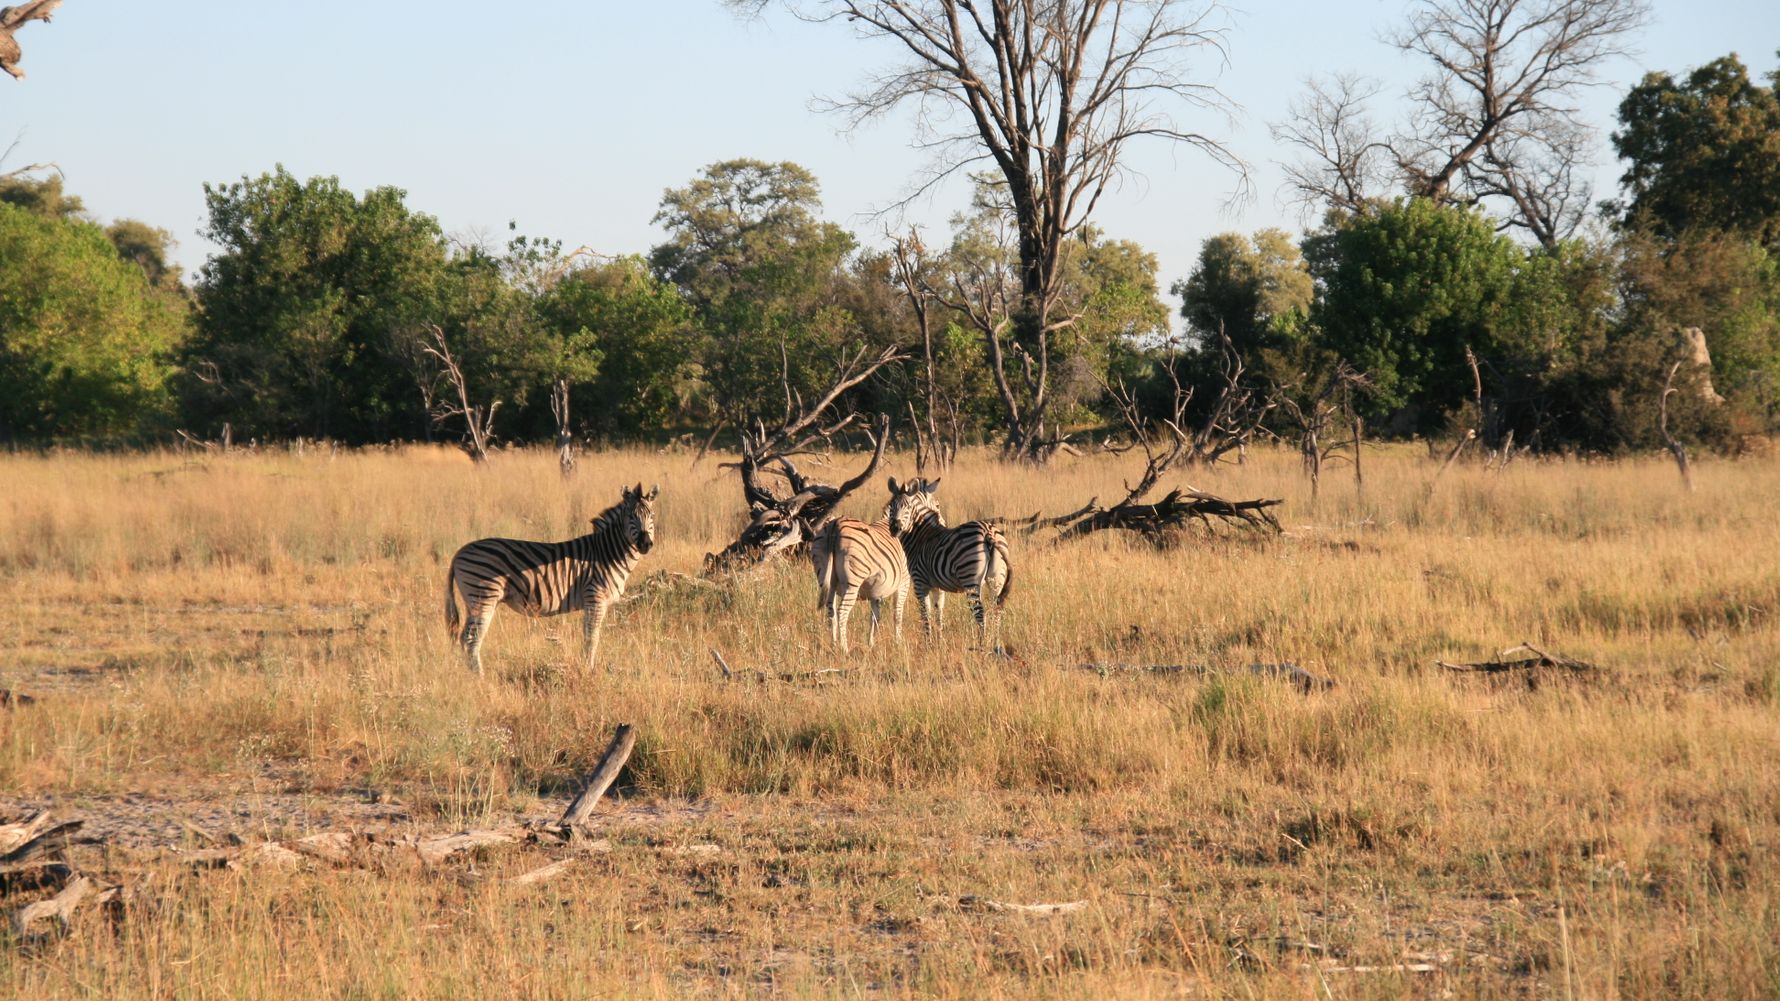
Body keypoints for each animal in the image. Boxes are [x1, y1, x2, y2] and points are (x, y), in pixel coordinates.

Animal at [444, 483, 658, 673]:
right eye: (630, 516)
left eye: (652, 516)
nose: (645, 544)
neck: (607, 553)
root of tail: (459, 552)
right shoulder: (595, 598)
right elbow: (592, 638)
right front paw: (588, 670)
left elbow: (588, 637)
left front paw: (586, 668)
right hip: (483, 595)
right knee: (472, 639)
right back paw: (480, 679)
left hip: (475, 600)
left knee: (464, 638)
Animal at [806, 516, 910, 653]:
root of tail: (835, 524)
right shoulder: (904, 582)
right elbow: (897, 615)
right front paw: (898, 643)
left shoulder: (875, 593)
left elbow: (875, 617)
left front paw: (871, 644)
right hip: (852, 582)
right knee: (842, 612)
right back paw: (844, 649)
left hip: (826, 579)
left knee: (831, 613)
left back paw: (834, 646)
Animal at [884, 477, 1012, 646]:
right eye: (892, 506)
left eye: (908, 507)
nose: (895, 528)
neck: (920, 535)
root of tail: (988, 531)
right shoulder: (937, 585)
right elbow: (939, 610)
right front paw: (940, 641)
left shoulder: (919, 582)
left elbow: (925, 614)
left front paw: (928, 643)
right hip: (996, 579)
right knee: (997, 610)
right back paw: (995, 643)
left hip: (970, 579)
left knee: (980, 613)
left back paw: (982, 645)